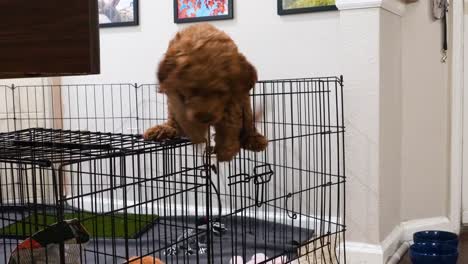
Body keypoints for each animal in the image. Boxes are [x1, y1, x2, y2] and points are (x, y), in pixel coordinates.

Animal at [143, 23, 266, 161]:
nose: (205, 118)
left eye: (221, 92)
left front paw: (226, 148)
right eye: (191, 90)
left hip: (245, 100)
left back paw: (254, 139)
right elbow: (177, 114)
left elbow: (230, 119)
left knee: (248, 119)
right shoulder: (173, 93)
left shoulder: (233, 95)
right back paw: (165, 129)